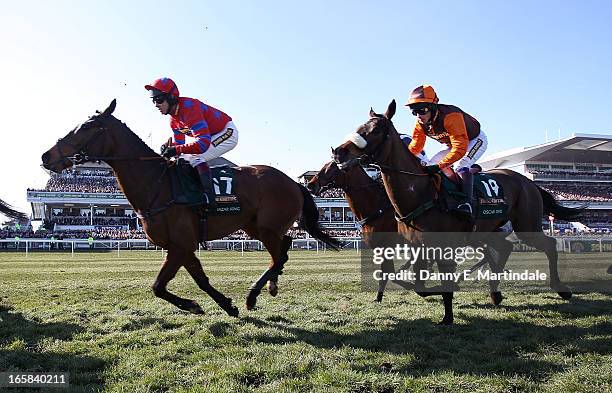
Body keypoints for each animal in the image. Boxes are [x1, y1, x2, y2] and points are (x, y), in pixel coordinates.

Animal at [40, 99, 342, 316]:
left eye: (86, 127)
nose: (46, 155)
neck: (157, 184)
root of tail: (294, 182)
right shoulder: (179, 246)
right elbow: (187, 281)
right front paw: (220, 305)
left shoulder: (181, 244)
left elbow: (162, 285)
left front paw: (206, 305)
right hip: (255, 226)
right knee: (285, 247)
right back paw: (271, 285)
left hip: (266, 227)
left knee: (279, 254)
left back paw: (252, 294)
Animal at [334, 99, 584, 324]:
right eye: (359, 127)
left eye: (375, 130)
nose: (338, 152)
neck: (420, 192)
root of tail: (528, 181)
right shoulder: (417, 246)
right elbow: (418, 286)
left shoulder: (442, 246)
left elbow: (438, 281)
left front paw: (448, 316)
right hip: (487, 230)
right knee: (504, 248)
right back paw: (495, 293)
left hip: (526, 225)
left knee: (548, 245)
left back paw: (561, 289)